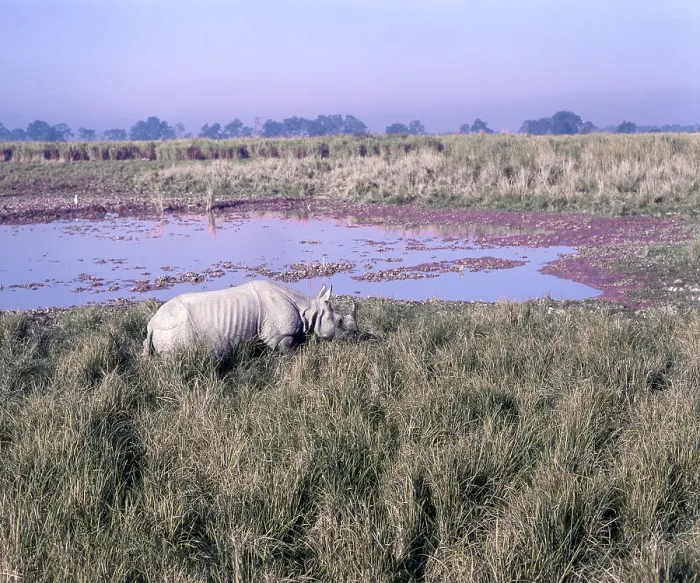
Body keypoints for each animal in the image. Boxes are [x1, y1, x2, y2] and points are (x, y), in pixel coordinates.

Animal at [143, 280, 357, 356]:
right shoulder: (278, 335)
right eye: (339, 321)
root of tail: (152, 323)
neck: (308, 310)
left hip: (165, 327)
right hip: (174, 327)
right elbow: (287, 351)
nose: (355, 335)